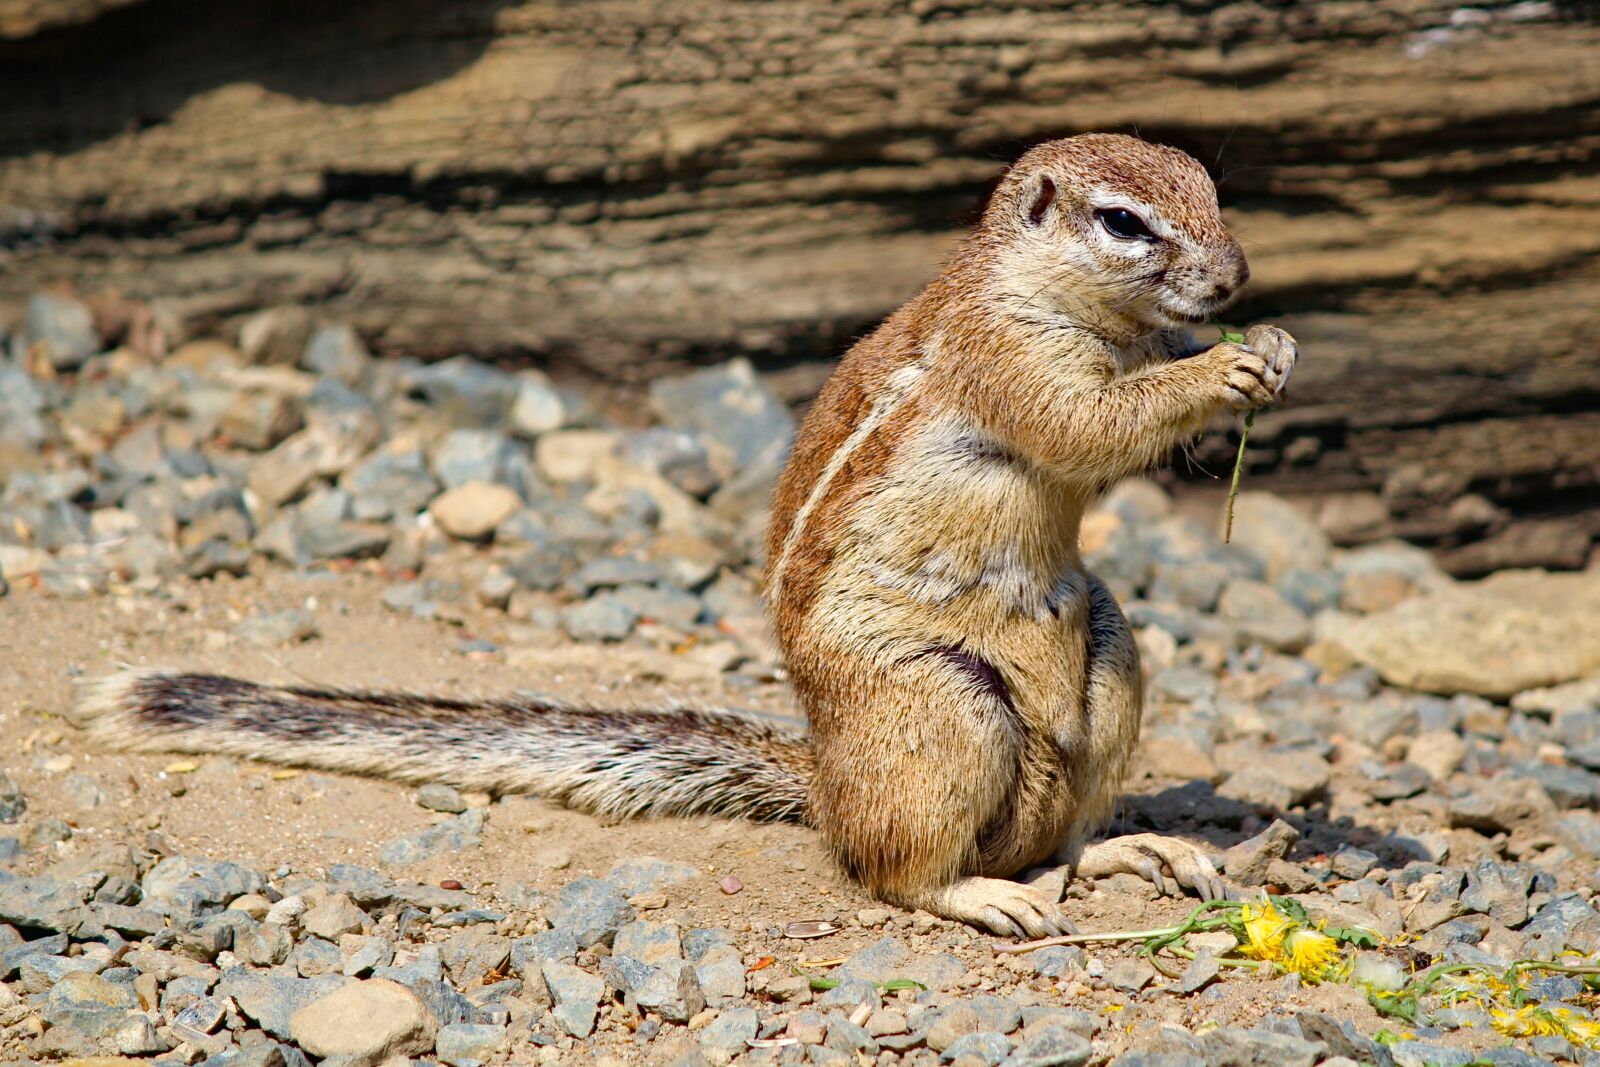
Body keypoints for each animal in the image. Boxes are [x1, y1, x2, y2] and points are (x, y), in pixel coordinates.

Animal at [74, 133, 1296, 937]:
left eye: (1211, 189)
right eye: (1122, 222)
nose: (1238, 277)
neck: (1060, 301)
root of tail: (824, 781)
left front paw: (1269, 348)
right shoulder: (1006, 360)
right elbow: (1088, 424)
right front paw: (1227, 367)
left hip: (1109, 651)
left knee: (1067, 823)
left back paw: (1133, 847)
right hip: (937, 705)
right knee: (895, 868)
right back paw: (983, 892)